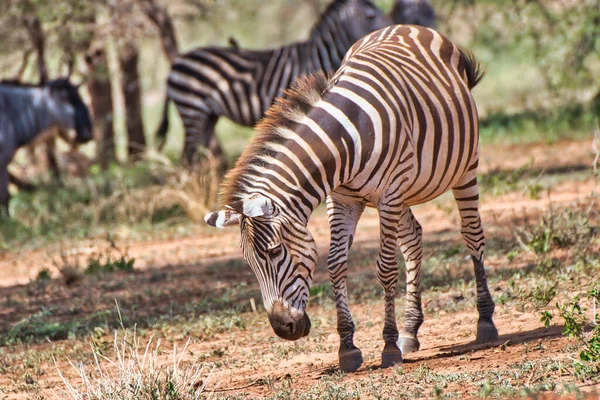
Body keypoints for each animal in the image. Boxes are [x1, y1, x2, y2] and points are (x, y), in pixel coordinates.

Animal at [156, 0, 390, 167]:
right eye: (371, 15)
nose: (392, 30)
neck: (317, 56)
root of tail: (176, 63)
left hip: (207, 116)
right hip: (192, 109)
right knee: (188, 158)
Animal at [204, 25, 500, 372]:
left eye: (275, 252)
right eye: (249, 262)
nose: (284, 329)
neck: (344, 143)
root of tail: (408, 27)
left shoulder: (389, 194)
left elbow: (386, 268)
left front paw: (388, 345)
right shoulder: (342, 199)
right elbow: (335, 264)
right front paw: (347, 347)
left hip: (465, 167)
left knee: (472, 235)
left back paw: (484, 321)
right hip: (405, 191)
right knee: (413, 239)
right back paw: (411, 329)